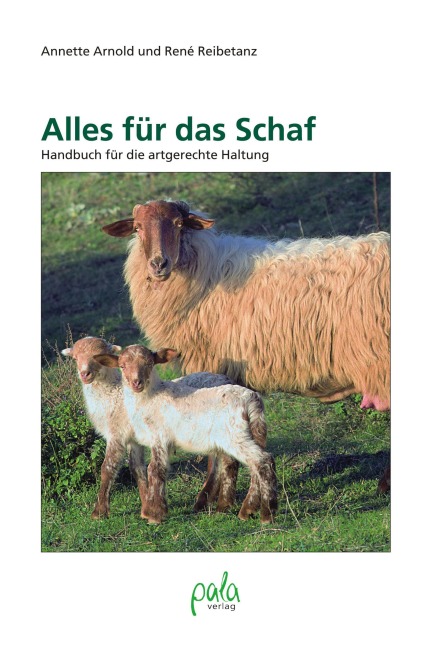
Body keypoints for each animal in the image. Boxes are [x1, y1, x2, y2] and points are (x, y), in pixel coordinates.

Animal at [62, 336, 236, 517]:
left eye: (96, 357)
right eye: (75, 358)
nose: (85, 374)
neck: (112, 396)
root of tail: (226, 379)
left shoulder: (117, 434)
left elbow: (107, 468)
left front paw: (100, 511)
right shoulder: (133, 439)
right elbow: (137, 469)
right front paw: (146, 505)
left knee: (227, 461)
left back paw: (223, 504)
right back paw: (206, 501)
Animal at [96, 344, 278, 524]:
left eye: (149, 363)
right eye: (122, 366)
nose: (136, 383)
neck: (150, 398)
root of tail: (252, 400)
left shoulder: (159, 437)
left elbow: (154, 470)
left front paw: (154, 515)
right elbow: (155, 470)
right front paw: (158, 510)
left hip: (235, 436)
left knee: (262, 461)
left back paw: (266, 514)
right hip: (255, 432)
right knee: (253, 465)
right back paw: (247, 509)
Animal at [103, 200, 390, 494]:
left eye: (179, 224)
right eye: (138, 227)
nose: (158, 264)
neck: (206, 274)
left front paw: (212, 493)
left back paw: (383, 484)